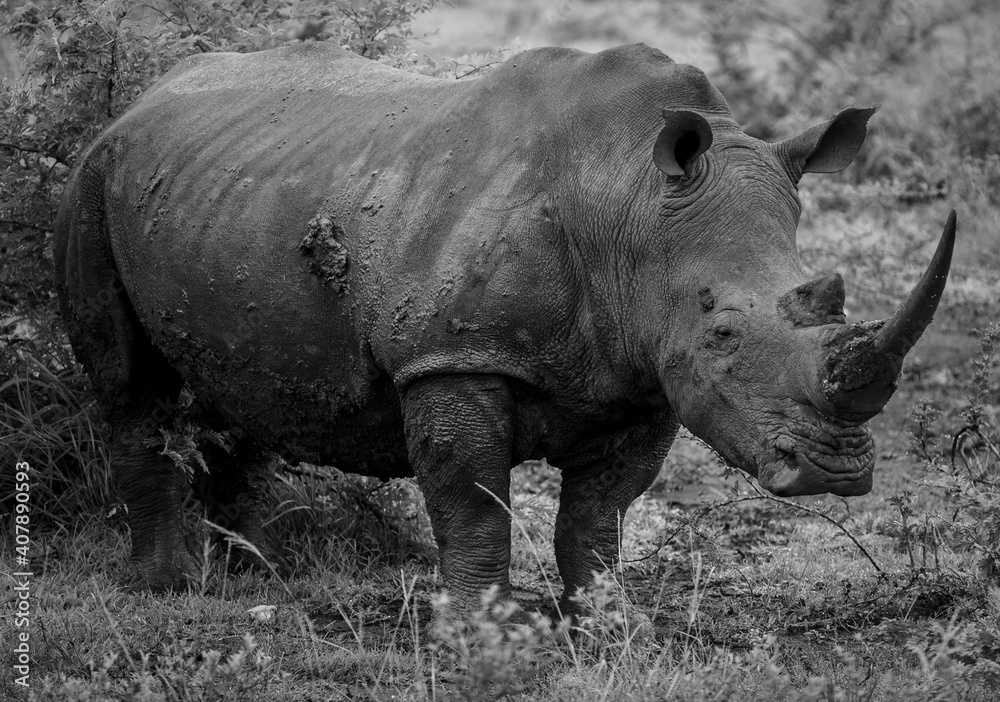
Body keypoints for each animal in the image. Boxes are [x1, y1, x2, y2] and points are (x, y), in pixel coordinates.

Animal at [54, 42, 955, 616]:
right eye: (723, 331)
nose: (836, 470)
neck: (630, 205)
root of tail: (146, 95)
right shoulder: (452, 352)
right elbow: (472, 495)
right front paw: (485, 630)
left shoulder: (643, 374)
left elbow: (599, 514)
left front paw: (611, 623)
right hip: (93, 178)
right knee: (130, 387)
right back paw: (166, 588)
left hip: (234, 188)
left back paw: (254, 577)